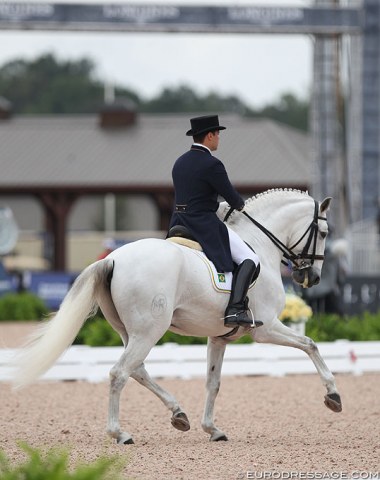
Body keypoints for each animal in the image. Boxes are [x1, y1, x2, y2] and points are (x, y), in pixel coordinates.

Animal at [12, 189, 342, 444]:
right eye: (324, 233)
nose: (310, 277)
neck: (259, 244)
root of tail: (114, 258)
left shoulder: (219, 337)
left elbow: (213, 382)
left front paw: (212, 429)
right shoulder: (266, 328)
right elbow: (310, 343)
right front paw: (333, 396)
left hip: (130, 332)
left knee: (137, 370)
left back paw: (178, 414)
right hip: (149, 331)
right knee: (120, 373)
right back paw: (120, 433)